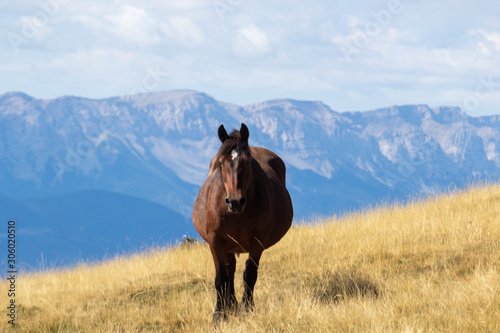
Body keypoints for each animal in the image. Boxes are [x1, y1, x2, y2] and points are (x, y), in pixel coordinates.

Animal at [191, 123, 292, 320]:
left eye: (248, 161)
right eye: (221, 163)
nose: (235, 201)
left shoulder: (258, 243)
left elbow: (249, 275)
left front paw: (248, 308)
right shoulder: (216, 242)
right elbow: (221, 278)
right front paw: (219, 315)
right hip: (228, 246)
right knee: (229, 272)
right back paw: (230, 305)